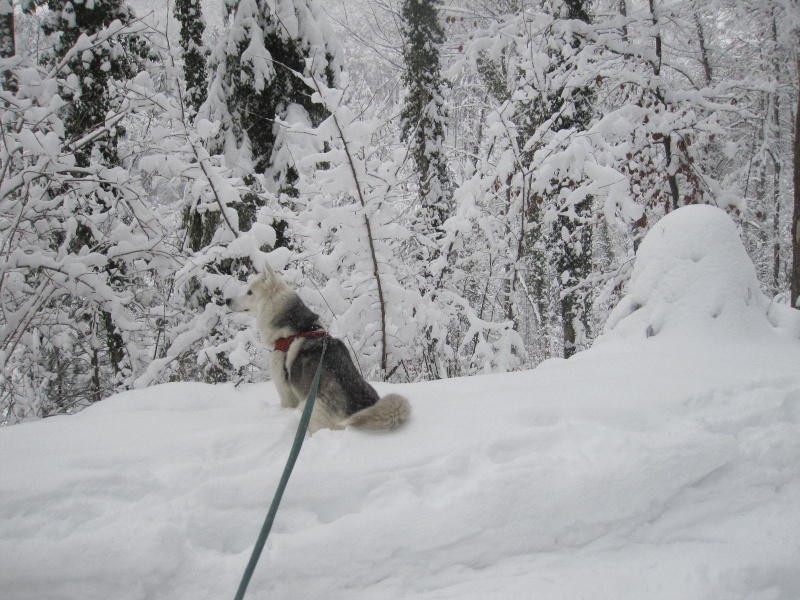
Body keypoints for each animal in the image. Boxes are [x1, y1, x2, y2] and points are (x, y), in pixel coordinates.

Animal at [227, 266, 410, 432]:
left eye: (250, 292)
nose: (227, 300)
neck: (295, 327)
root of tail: (357, 410)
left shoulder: (286, 394)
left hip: (307, 410)